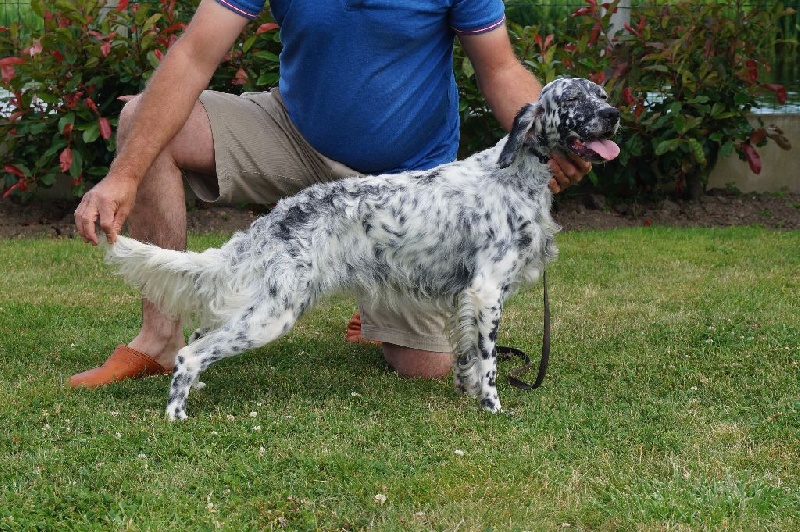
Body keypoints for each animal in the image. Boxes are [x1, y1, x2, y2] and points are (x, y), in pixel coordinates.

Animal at [104, 77, 620, 418]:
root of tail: (276, 218)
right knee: (188, 354)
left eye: (603, 95)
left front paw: (467, 392)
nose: (614, 115)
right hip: (273, 315)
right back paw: (177, 413)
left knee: (197, 337)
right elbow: (489, 363)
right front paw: (493, 407)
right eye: (573, 98)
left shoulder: (466, 299)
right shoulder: (487, 292)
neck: (514, 175)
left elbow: (467, 359)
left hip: (260, 306)